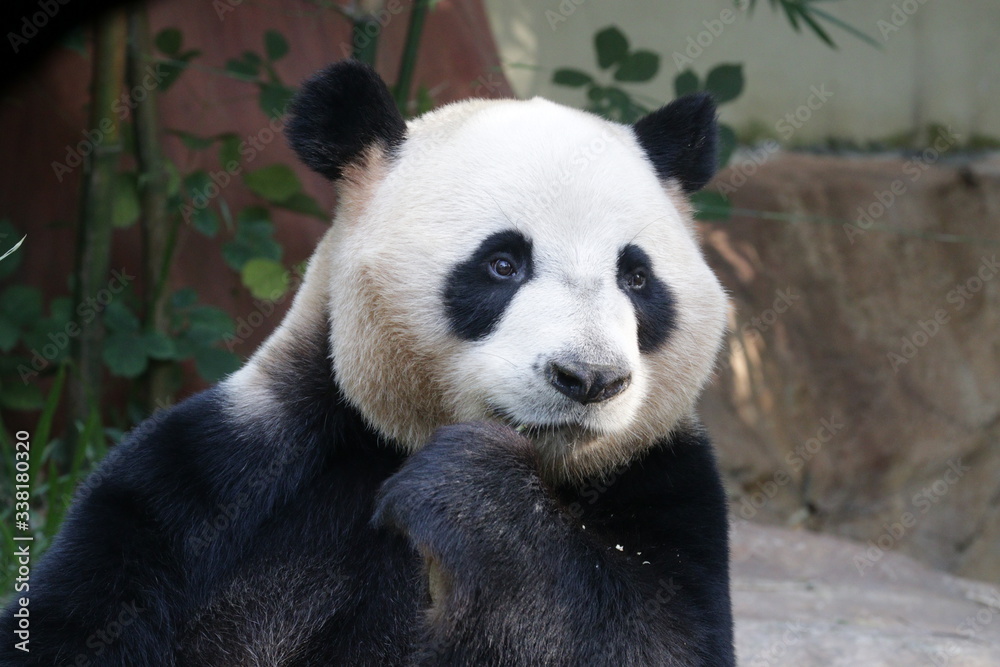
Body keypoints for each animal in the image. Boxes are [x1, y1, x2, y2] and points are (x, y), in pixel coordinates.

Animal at [1, 60, 733, 665]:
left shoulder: (667, 483)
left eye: (636, 278)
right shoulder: (222, 475)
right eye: (502, 263)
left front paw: (469, 491)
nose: (590, 378)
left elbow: (654, 639)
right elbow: (86, 615)